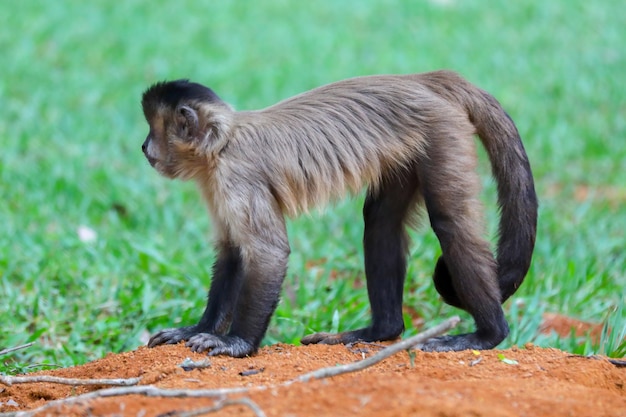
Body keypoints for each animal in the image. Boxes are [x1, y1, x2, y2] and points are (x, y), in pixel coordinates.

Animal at [141, 70, 536, 356]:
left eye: (153, 130)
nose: (144, 146)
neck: (222, 143)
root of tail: (423, 78)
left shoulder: (235, 176)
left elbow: (268, 253)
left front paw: (236, 343)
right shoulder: (215, 183)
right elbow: (232, 252)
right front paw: (196, 329)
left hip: (441, 129)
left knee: (451, 225)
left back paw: (488, 335)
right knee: (380, 222)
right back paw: (380, 331)